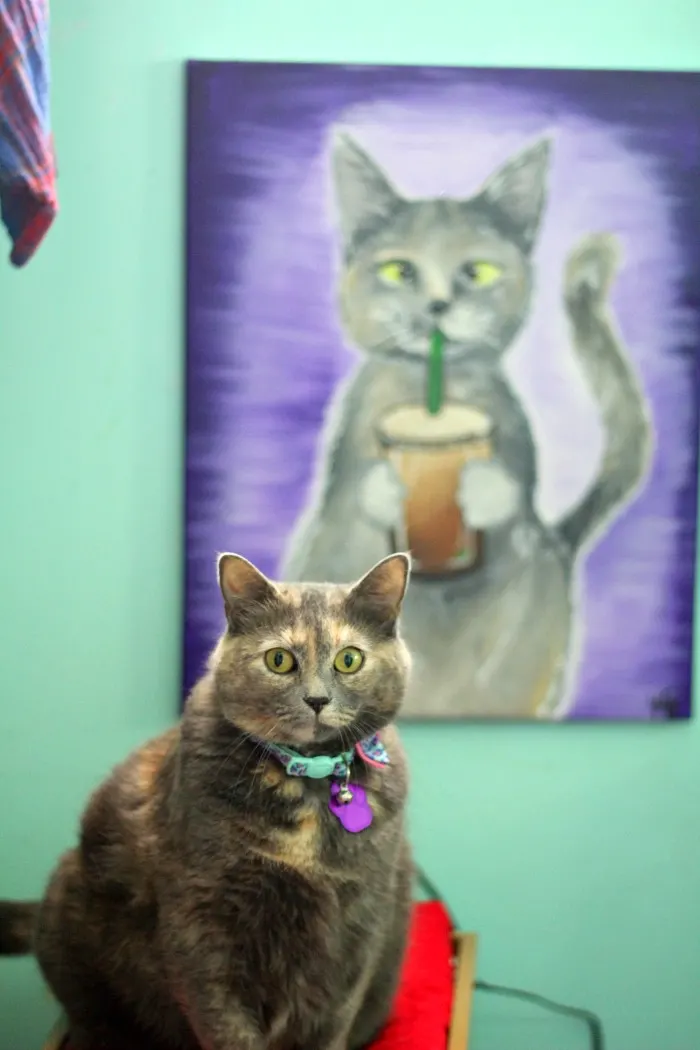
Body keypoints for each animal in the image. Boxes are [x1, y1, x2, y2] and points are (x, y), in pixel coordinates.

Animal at [0, 552, 413, 1050]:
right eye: (279, 660)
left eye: (349, 659)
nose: (317, 698)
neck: (307, 781)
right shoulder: (201, 916)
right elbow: (222, 1020)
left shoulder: (355, 934)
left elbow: (329, 1020)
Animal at [281, 134, 652, 719]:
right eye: (399, 272)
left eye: (476, 272)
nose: (438, 305)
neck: (436, 392)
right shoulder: (340, 486)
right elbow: (351, 505)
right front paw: (387, 488)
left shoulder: (516, 454)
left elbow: (514, 501)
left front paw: (482, 488)